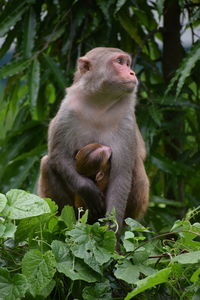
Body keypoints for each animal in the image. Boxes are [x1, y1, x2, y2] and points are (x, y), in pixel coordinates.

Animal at [38, 47, 149, 232]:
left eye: (127, 63)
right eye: (120, 62)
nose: (132, 72)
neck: (100, 104)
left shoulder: (126, 120)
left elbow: (121, 175)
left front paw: (112, 231)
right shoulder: (68, 110)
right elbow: (58, 155)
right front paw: (87, 189)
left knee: (135, 167)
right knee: (47, 164)